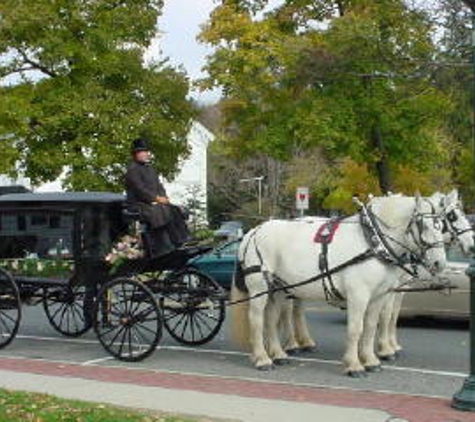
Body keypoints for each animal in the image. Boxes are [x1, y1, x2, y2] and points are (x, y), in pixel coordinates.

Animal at [232, 195, 448, 376]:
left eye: (442, 226)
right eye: (424, 225)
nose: (440, 263)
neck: (372, 241)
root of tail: (254, 231)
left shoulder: (378, 295)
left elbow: (370, 327)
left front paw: (371, 361)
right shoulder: (358, 295)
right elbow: (355, 328)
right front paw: (354, 364)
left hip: (277, 288)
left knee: (270, 319)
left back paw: (277, 354)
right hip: (259, 287)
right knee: (257, 319)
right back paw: (262, 359)